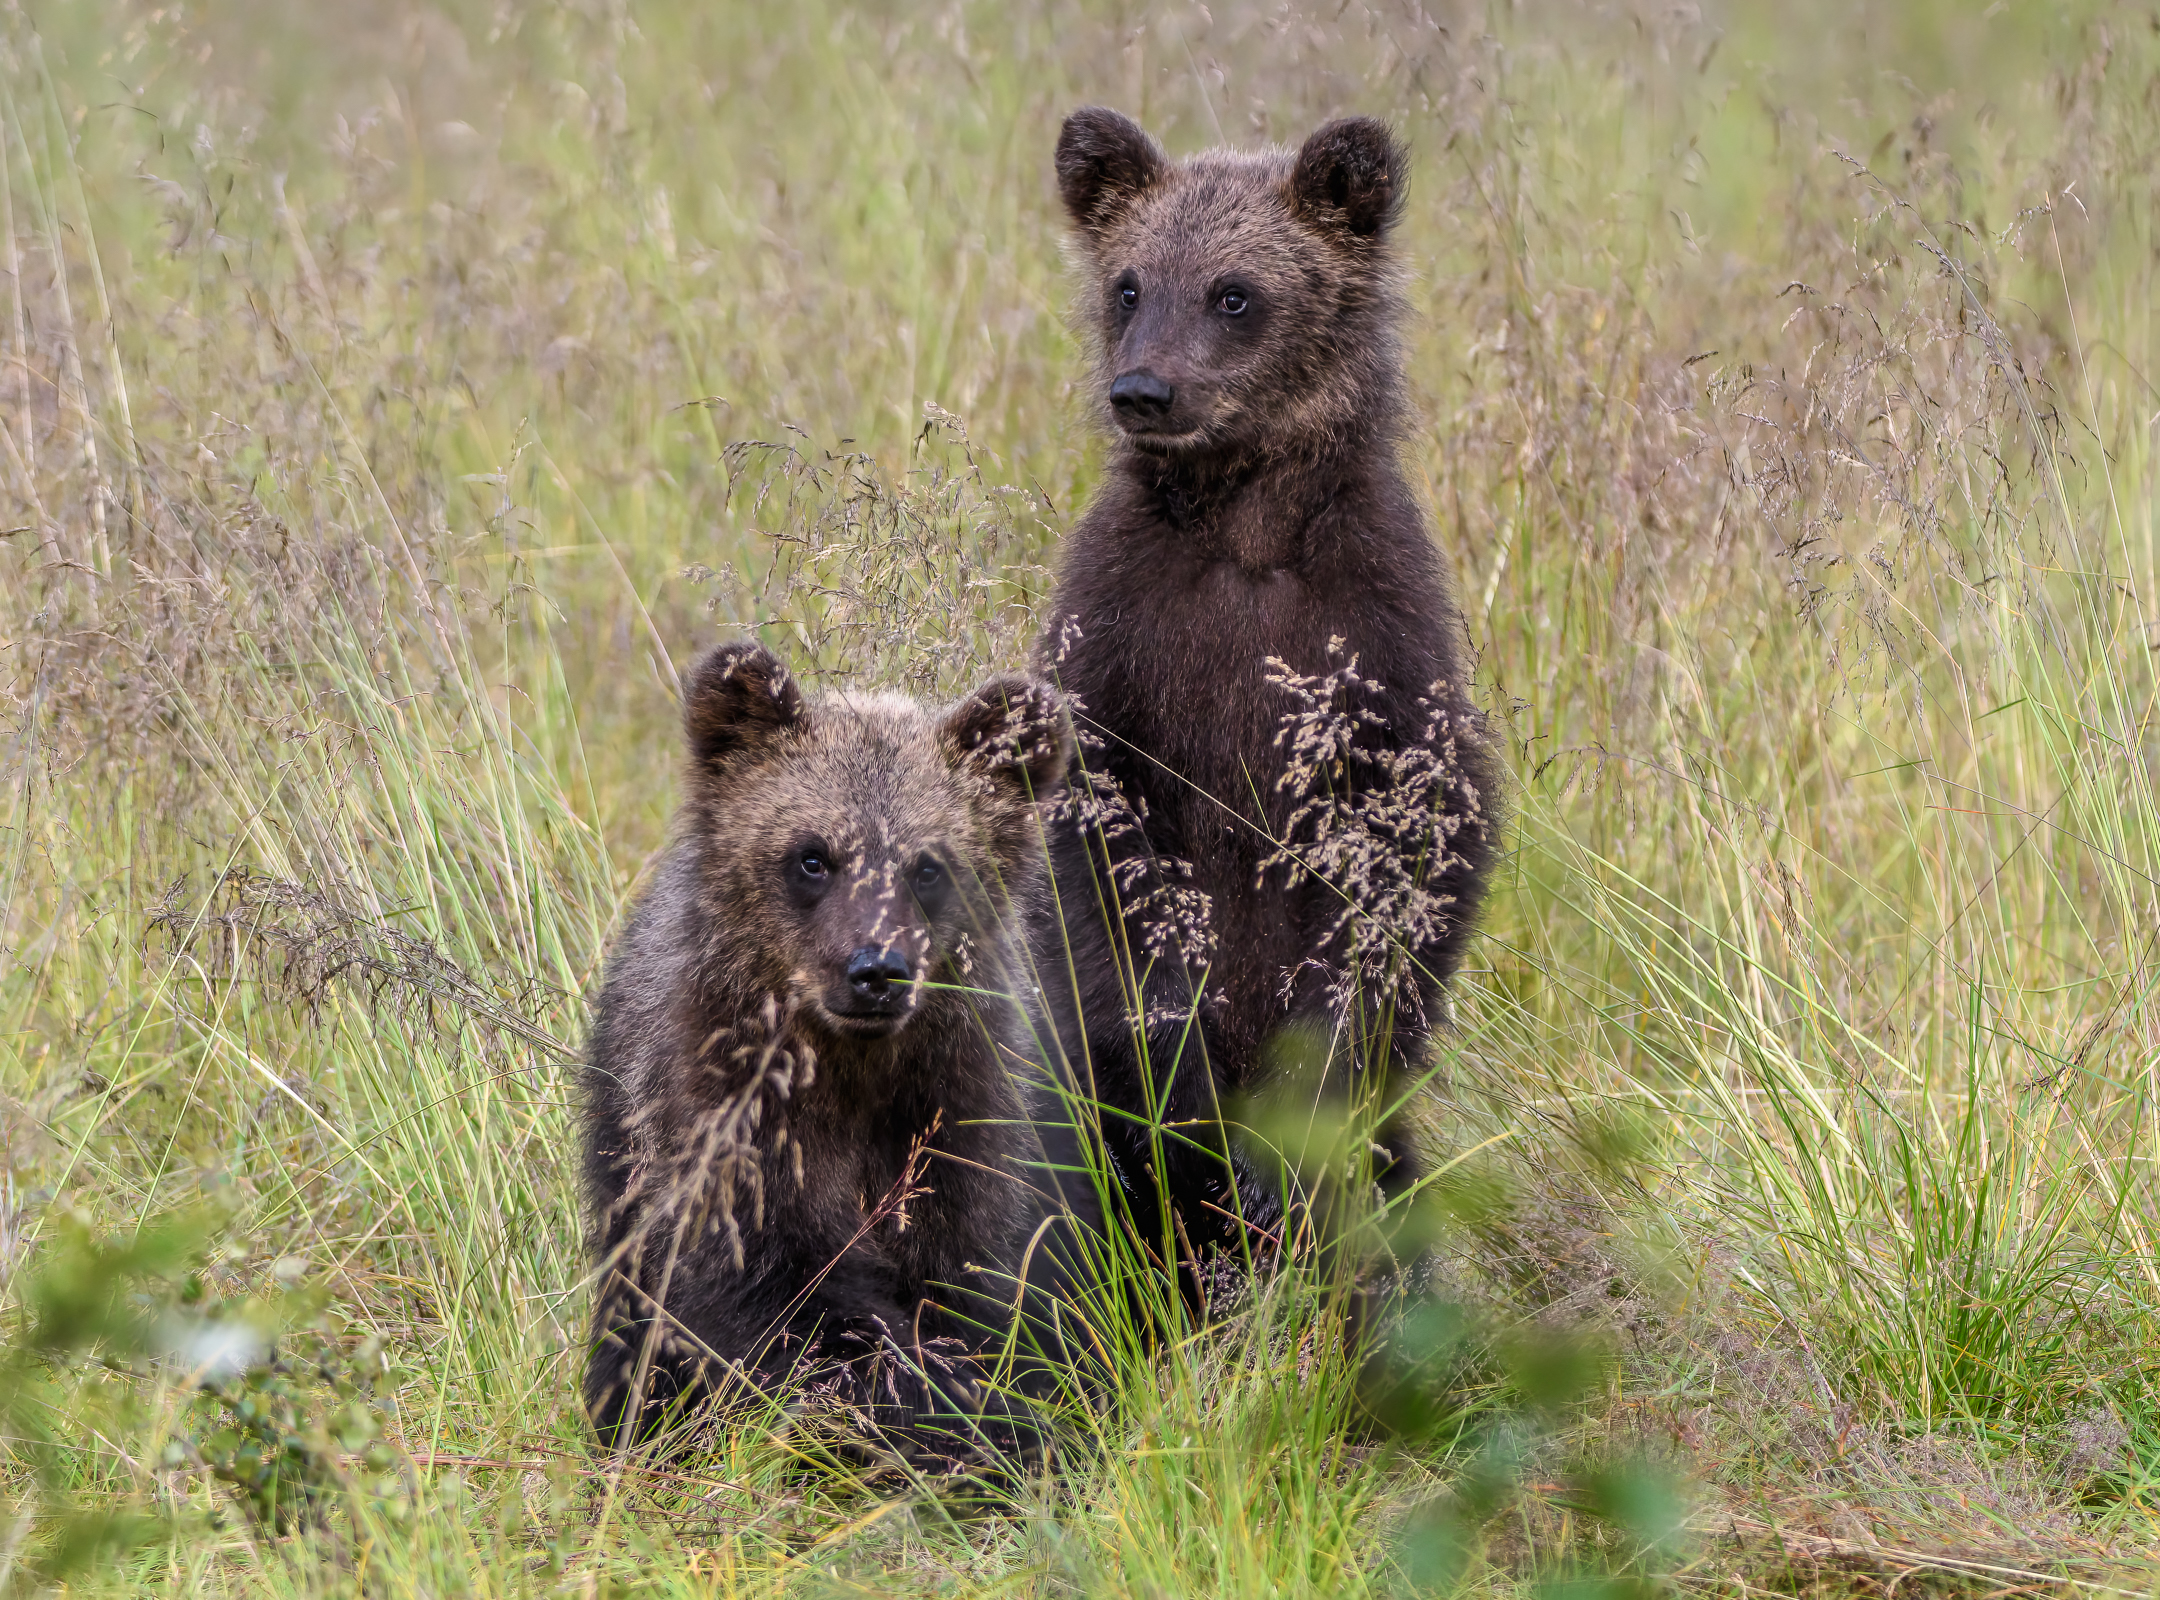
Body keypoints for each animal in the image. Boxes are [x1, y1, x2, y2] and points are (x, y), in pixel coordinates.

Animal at [581, 641, 1077, 1470]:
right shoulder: (727, 1121)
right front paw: (939, 1413)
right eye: (813, 857)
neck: (848, 1069)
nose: (876, 971)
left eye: (928, 865)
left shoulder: (956, 1114)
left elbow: (971, 1283)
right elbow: (788, 1300)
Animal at [1033, 108, 1501, 1305]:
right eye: (1129, 284)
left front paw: (1286, 1139)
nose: (1144, 392)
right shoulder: (1119, 639)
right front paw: (1190, 1108)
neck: (1244, 524)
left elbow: (1402, 875)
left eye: (1235, 292)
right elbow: (1104, 873)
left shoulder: (1377, 643)